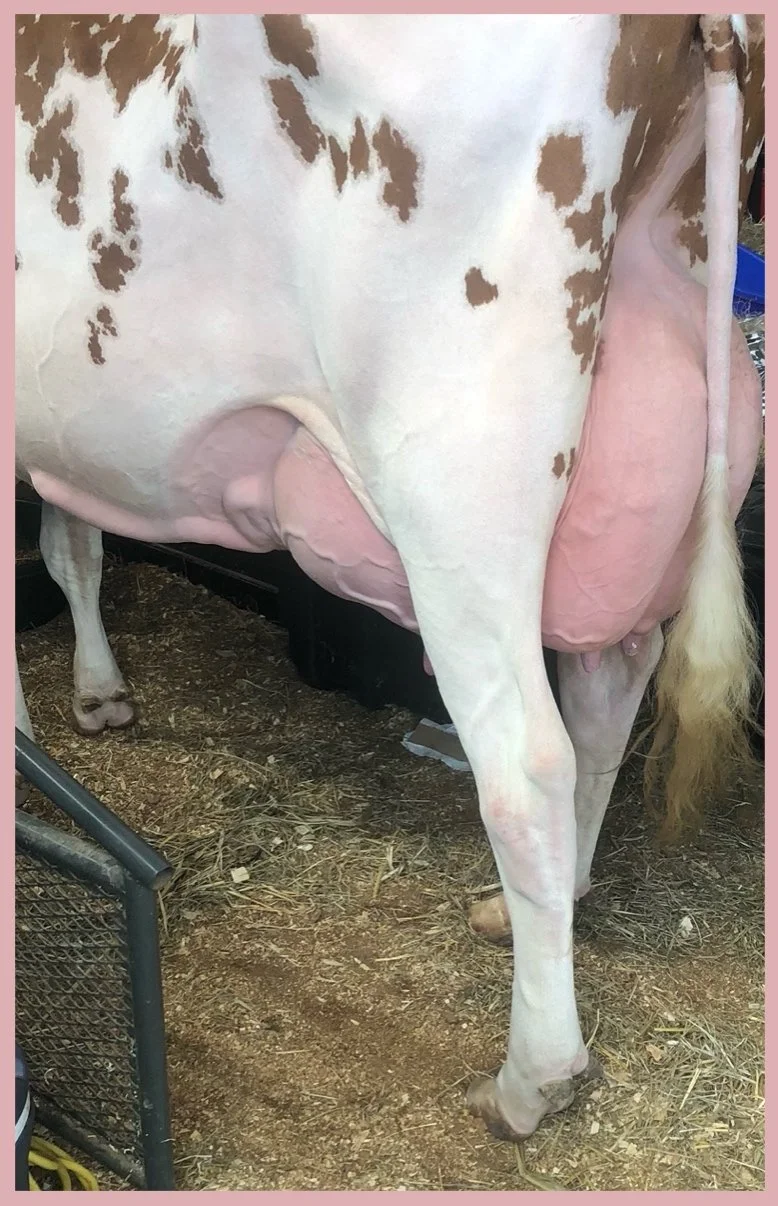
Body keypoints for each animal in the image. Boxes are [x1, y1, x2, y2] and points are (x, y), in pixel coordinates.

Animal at [15, 14, 764, 1142]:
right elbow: (75, 542)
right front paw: (98, 693)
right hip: (642, 439)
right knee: (606, 695)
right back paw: (539, 909)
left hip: (455, 483)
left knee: (528, 763)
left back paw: (530, 1078)